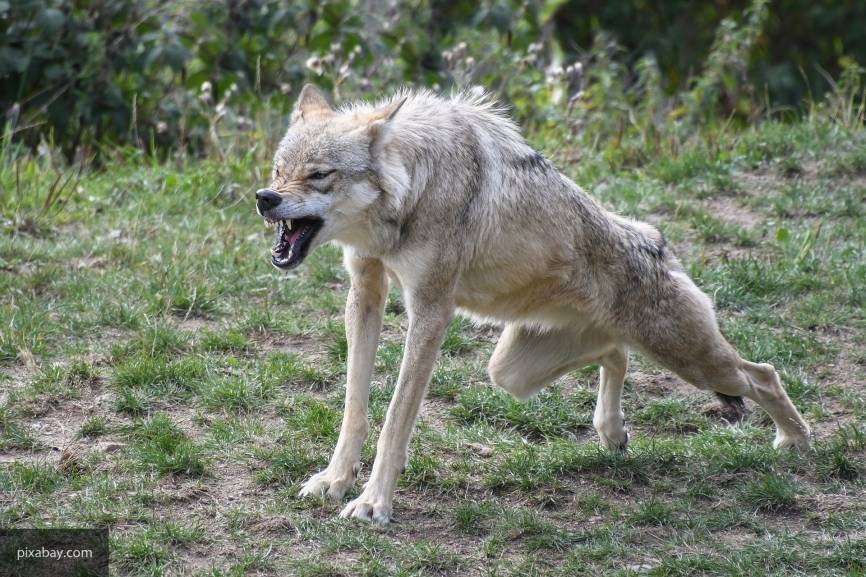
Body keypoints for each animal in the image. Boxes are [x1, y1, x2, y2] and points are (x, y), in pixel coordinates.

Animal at [253, 84, 808, 520]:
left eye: (319, 175)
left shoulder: (430, 310)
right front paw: (334, 480)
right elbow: (355, 406)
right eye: (279, 170)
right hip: (511, 372)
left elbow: (394, 419)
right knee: (616, 353)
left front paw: (373, 503)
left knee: (763, 374)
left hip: (694, 361)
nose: (265, 198)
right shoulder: (365, 292)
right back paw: (612, 433)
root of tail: (656, 240)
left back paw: (796, 443)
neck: (412, 190)